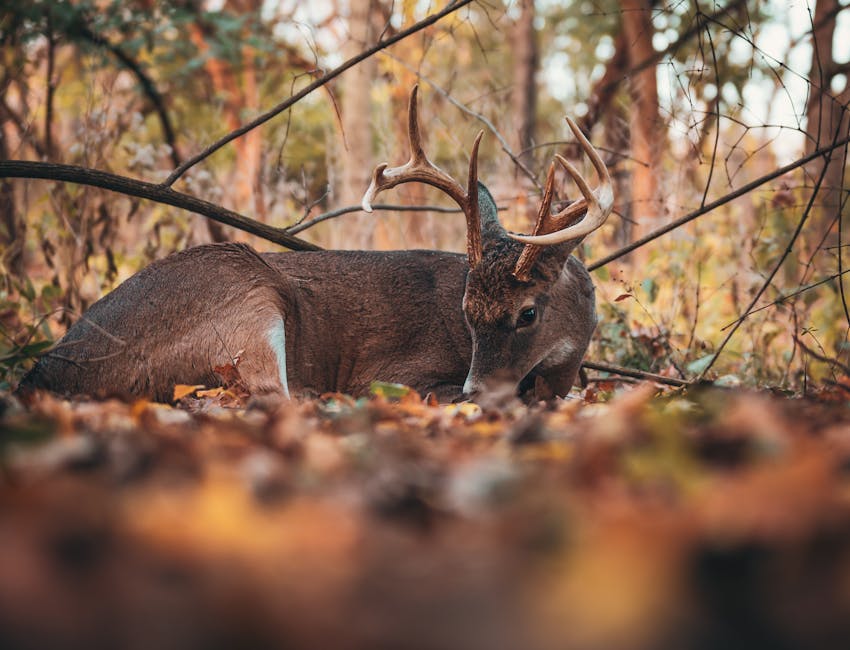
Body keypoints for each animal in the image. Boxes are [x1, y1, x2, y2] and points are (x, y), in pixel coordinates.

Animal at [18, 86, 613, 404]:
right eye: (467, 313)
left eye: (527, 313)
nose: (475, 392)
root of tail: (48, 370)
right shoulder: (392, 374)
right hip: (246, 295)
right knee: (266, 395)